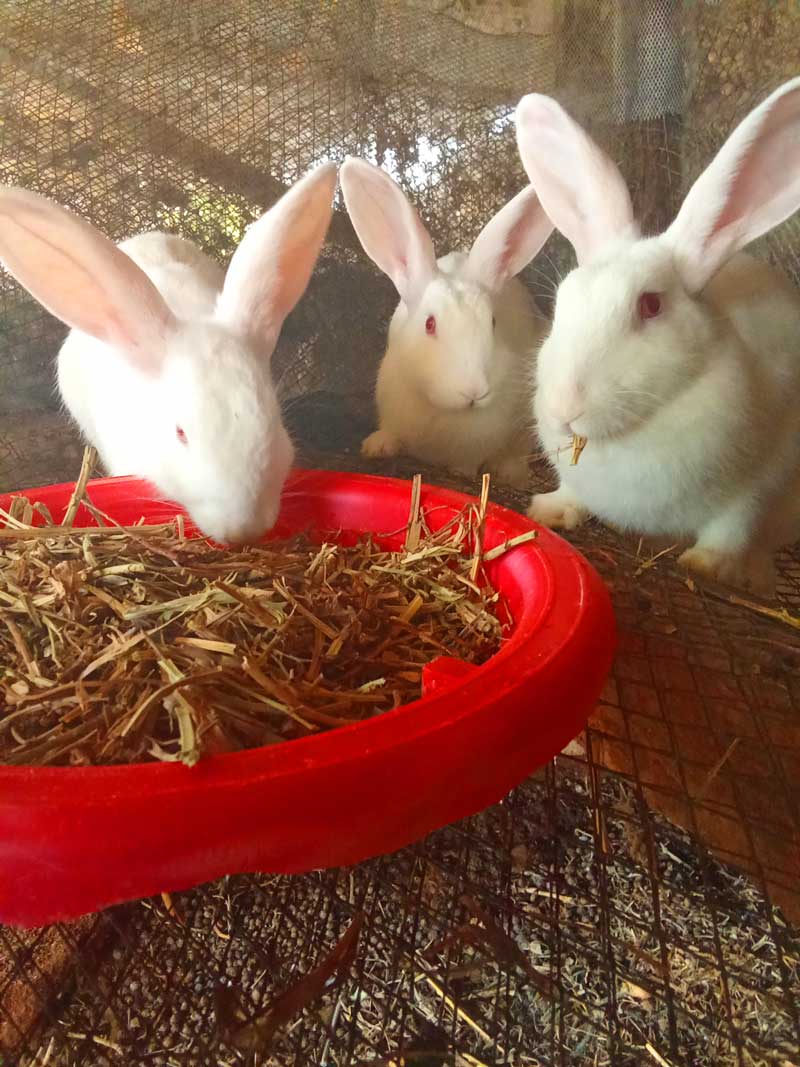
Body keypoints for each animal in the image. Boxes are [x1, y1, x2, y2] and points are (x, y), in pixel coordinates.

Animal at [339, 157, 553, 489]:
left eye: (493, 322)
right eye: (429, 324)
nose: (474, 391)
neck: (441, 410)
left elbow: (468, 463)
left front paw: (461, 472)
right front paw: (376, 447)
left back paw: (510, 471)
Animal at [514, 77, 800, 593]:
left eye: (650, 305)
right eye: (564, 299)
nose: (564, 410)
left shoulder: (763, 478)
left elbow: (735, 522)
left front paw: (707, 565)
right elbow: (573, 492)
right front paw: (551, 509)